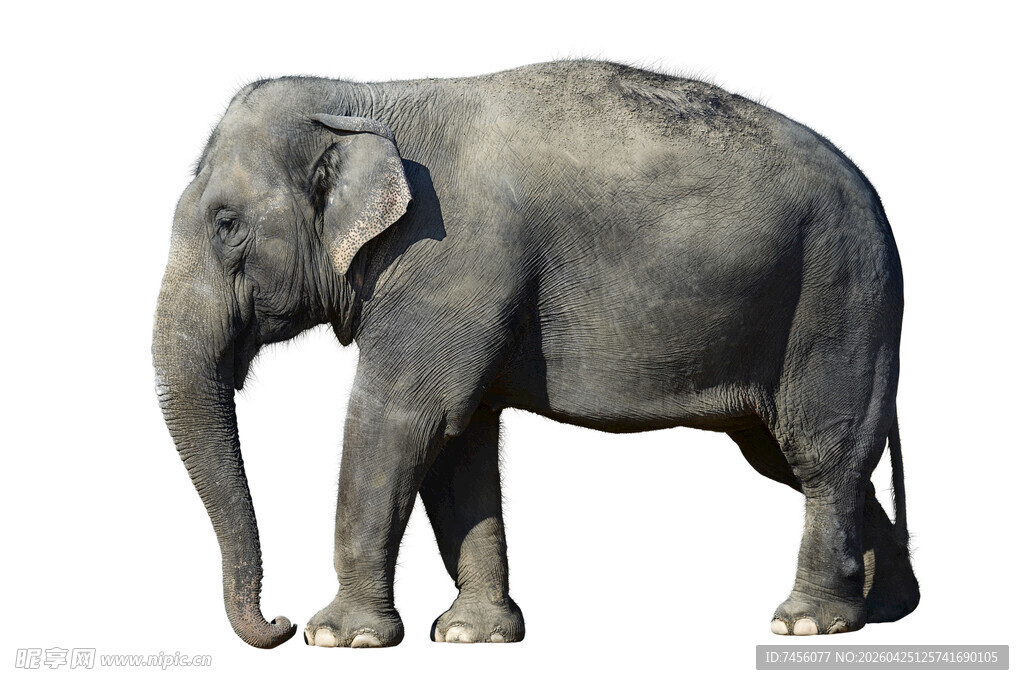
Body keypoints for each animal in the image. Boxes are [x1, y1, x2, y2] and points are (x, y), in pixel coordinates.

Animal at [153, 60, 919, 649]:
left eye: (226, 224)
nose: (277, 623)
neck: (364, 95)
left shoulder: (447, 259)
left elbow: (401, 420)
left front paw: (342, 637)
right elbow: (459, 445)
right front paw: (472, 634)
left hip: (839, 295)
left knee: (822, 452)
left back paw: (807, 623)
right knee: (802, 457)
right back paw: (883, 609)